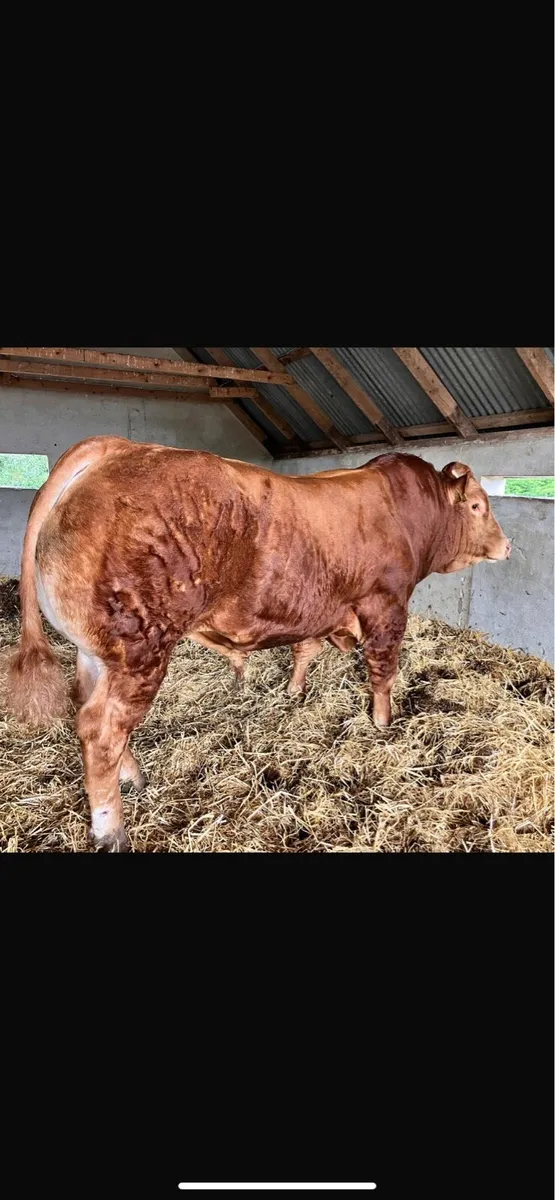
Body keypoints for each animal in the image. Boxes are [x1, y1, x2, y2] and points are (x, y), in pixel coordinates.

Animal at [1, 436, 511, 851]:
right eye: (478, 507)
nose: (506, 546)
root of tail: (117, 447)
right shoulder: (386, 604)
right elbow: (383, 670)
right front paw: (384, 724)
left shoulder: (319, 609)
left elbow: (305, 650)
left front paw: (295, 691)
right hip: (140, 651)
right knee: (102, 728)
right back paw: (111, 830)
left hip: (98, 653)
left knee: (87, 705)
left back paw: (134, 776)